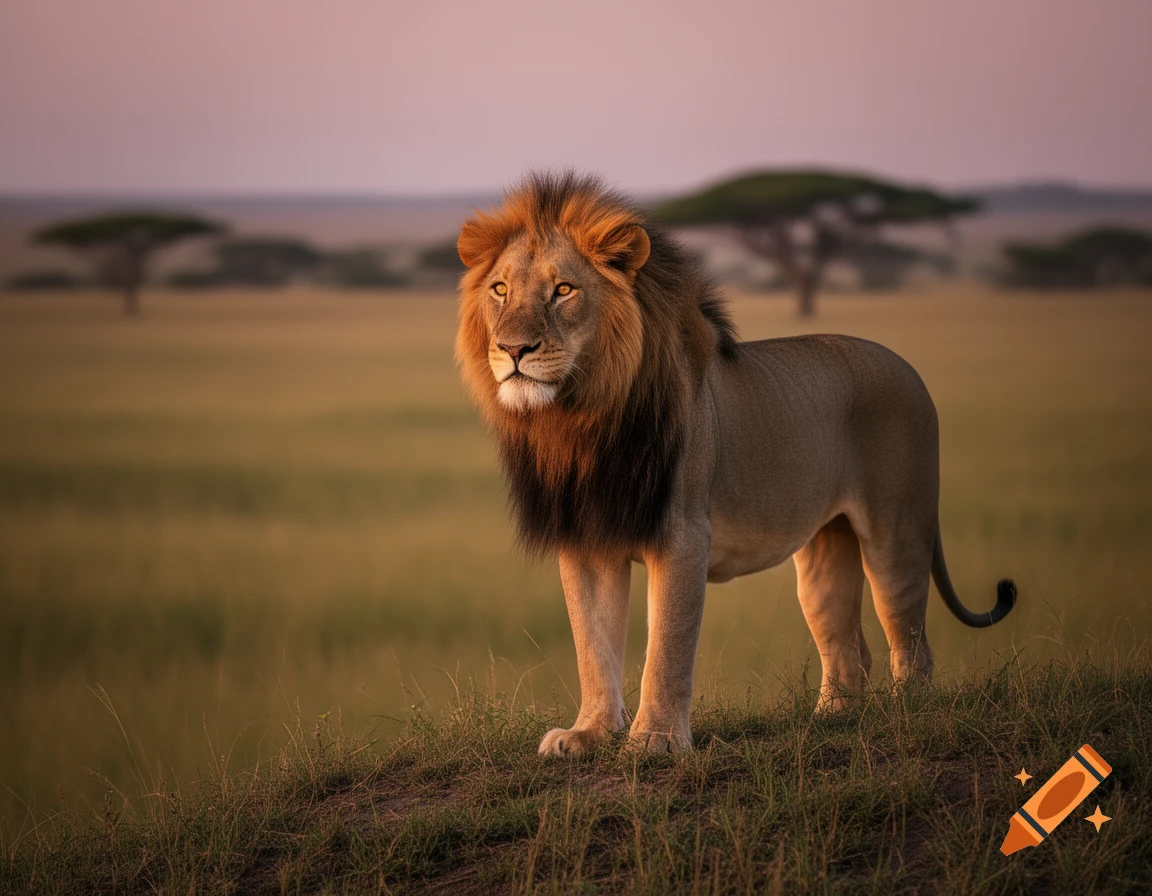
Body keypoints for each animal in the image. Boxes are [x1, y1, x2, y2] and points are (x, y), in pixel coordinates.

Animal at [455, 172, 1016, 755]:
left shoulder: (682, 536)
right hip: (825, 547)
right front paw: (588, 734)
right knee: (847, 646)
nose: (512, 349)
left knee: (911, 639)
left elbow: (668, 645)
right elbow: (592, 643)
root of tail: (909, 368)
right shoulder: (587, 539)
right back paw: (829, 721)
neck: (580, 419)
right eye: (500, 290)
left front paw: (654, 740)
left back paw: (906, 716)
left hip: (897, 530)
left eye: (563, 290)